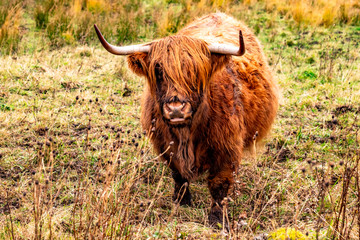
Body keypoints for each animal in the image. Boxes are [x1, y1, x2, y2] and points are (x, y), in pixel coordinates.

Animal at [95, 12, 278, 227]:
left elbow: (219, 184)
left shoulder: (227, 147)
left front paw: (217, 219)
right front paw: (181, 200)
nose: (176, 109)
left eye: (195, 72)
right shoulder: (164, 143)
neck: (186, 133)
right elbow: (177, 174)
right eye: (158, 71)